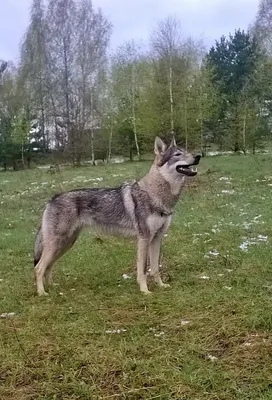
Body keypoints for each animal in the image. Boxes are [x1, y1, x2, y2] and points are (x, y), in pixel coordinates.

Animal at [33, 136, 200, 296]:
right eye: (177, 154)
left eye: (186, 151)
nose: (198, 156)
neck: (154, 194)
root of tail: (51, 199)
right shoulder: (144, 239)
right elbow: (143, 270)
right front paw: (145, 291)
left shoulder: (157, 238)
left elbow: (155, 268)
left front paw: (161, 285)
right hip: (58, 243)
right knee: (39, 268)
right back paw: (42, 293)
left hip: (65, 244)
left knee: (49, 266)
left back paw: (52, 287)